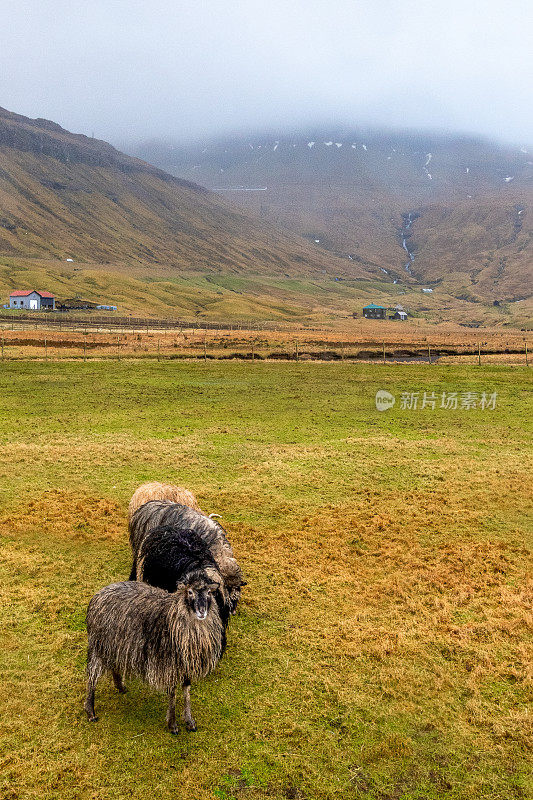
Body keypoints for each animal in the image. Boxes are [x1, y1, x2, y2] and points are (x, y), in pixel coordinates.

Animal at [82, 572, 222, 736]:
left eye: (209, 592)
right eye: (189, 592)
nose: (202, 611)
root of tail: (98, 595)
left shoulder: (186, 665)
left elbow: (186, 692)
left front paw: (189, 721)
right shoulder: (169, 665)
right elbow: (173, 693)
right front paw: (173, 724)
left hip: (115, 644)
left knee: (114, 666)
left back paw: (120, 687)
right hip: (99, 645)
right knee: (92, 677)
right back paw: (90, 711)